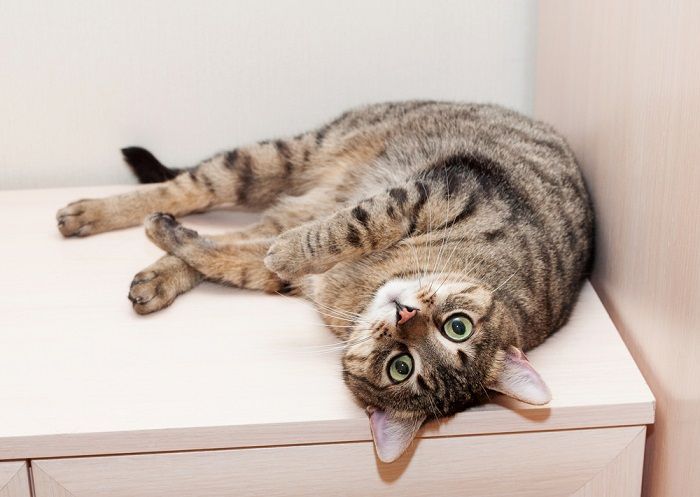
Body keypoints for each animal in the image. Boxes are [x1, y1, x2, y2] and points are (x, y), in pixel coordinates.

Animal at [56, 101, 592, 462]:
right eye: (457, 326)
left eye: (401, 367)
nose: (406, 314)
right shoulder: (446, 189)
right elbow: (357, 223)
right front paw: (294, 249)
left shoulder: (282, 276)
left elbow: (232, 257)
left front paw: (185, 248)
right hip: (277, 158)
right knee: (185, 188)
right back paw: (91, 213)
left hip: (283, 198)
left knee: (238, 231)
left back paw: (156, 263)